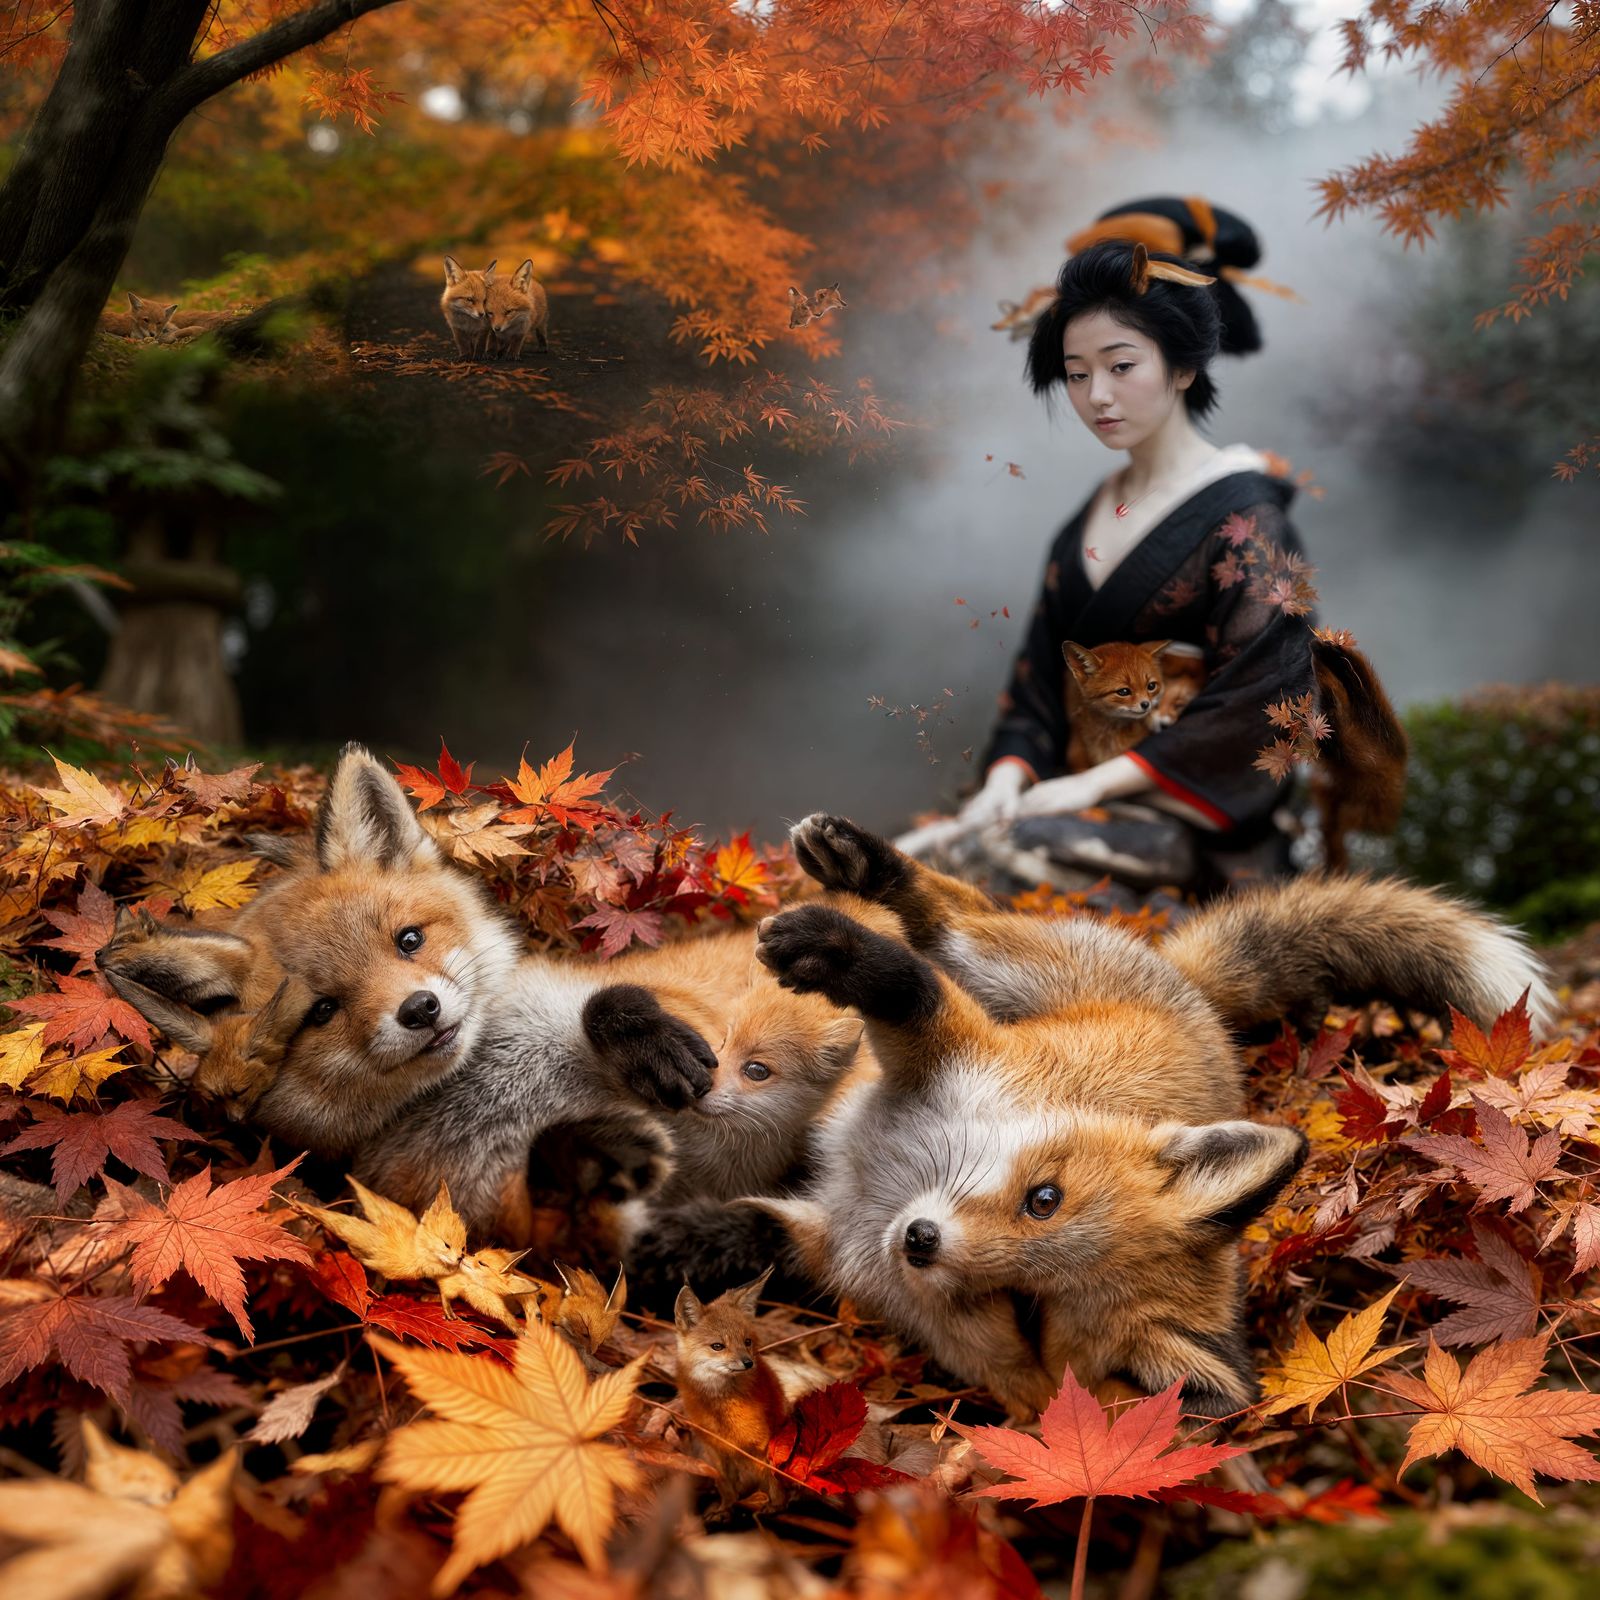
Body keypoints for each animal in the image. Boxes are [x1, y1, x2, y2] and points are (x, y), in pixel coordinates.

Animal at [737, 813, 1553, 1422]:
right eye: (1045, 1198)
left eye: (1023, 1309)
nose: (919, 1241)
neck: (890, 1178)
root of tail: (1207, 1014)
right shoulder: (962, 1054)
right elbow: (906, 986)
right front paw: (832, 950)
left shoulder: (829, 1241)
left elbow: (726, 1237)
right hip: (1011, 967)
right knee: (947, 919)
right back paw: (859, 864)